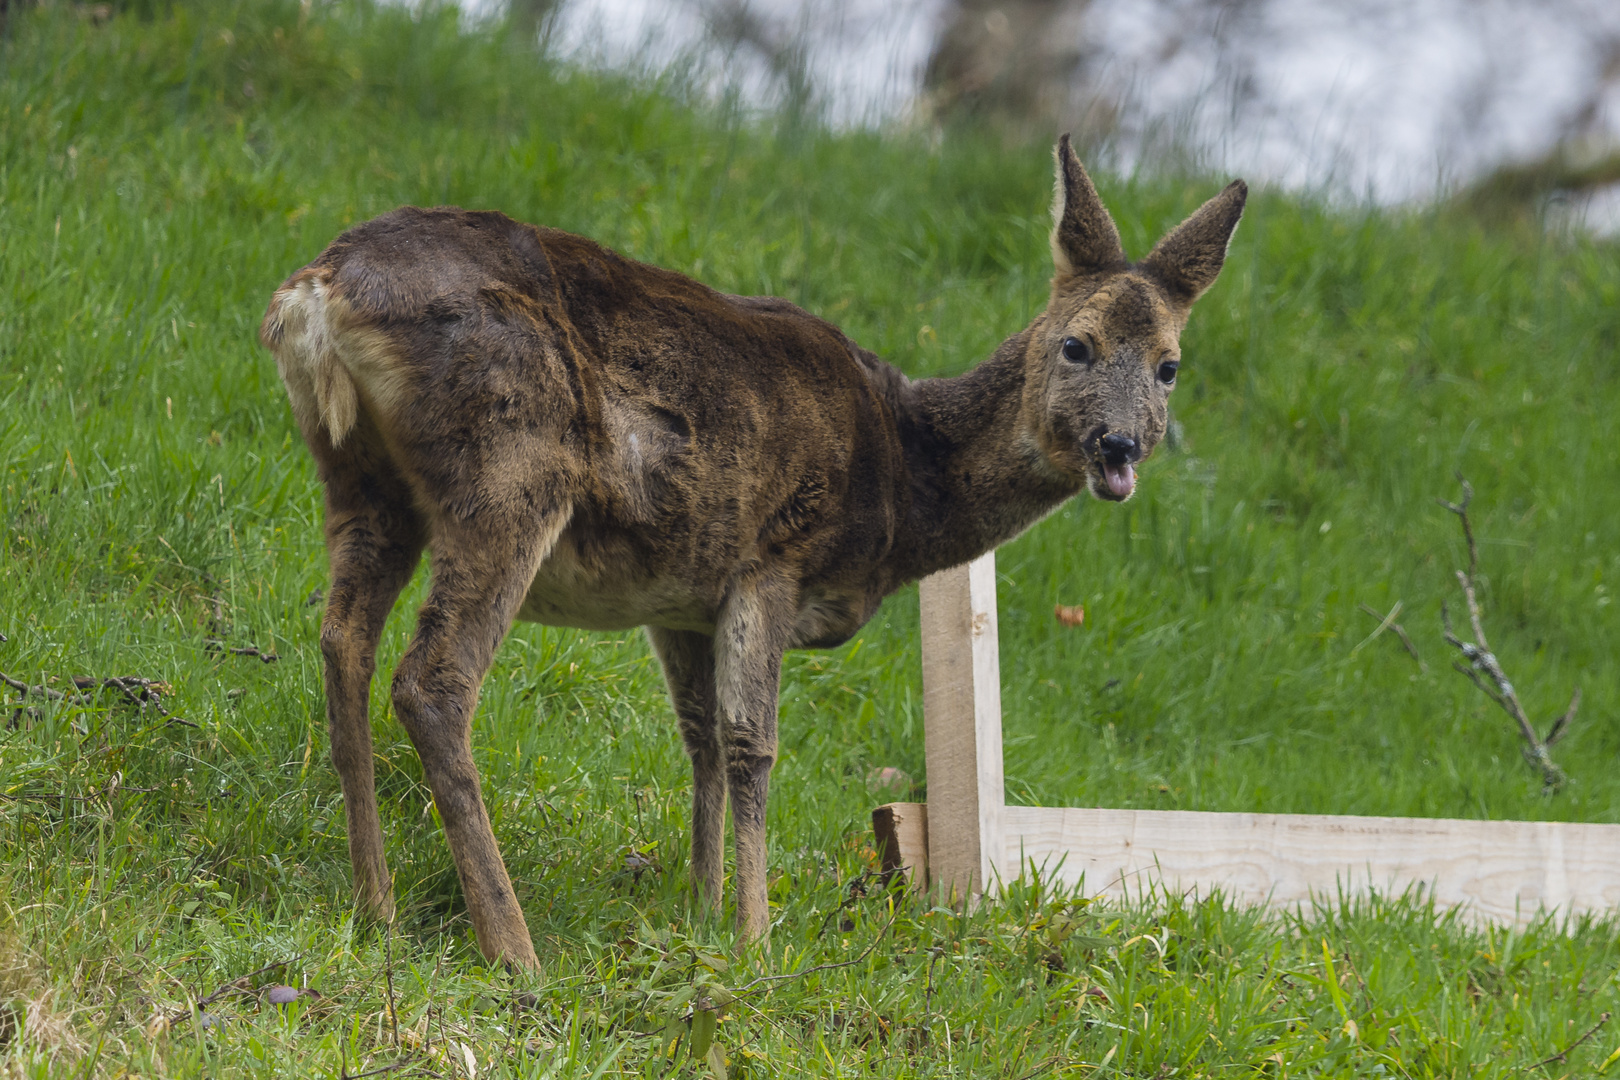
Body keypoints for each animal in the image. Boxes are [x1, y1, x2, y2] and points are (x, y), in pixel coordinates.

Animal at [259, 137, 1244, 971]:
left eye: (1169, 366)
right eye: (1076, 345)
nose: (1119, 449)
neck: (903, 476)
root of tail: (313, 294)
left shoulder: (679, 598)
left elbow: (696, 737)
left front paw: (699, 909)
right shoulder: (772, 557)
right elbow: (750, 744)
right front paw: (755, 937)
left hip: (362, 482)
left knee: (343, 640)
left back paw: (377, 908)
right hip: (510, 463)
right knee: (433, 677)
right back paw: (514, 948)